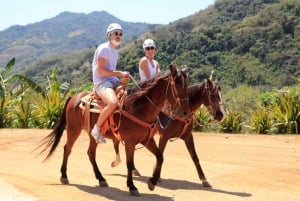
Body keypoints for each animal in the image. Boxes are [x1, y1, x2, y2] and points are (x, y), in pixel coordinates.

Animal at [38, 65, 190, 196]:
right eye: (177, 85)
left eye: (187, 85)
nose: (185, 112)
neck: (138, 108)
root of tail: (74, 97)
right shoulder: (130, 142)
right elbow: (130, 164)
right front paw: (132, 187)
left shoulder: (147, 140)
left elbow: (160, 157)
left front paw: (152, 182)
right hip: (73, 129)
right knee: (67, 149)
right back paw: (64, 176)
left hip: (92, 135)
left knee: (90, 153)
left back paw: (101, 179)